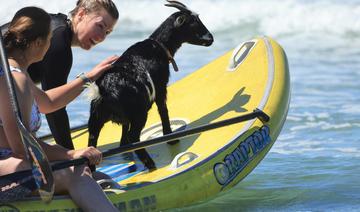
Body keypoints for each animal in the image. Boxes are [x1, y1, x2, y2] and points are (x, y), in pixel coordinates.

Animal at [87, 0, 214, 171]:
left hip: (96, 116)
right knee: (134, 135)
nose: (211, 38)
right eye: (193, 22)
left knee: (92, 141)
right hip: (139, 112)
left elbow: (124, 132)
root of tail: (103, 90)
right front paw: (170, 137)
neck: (159, 47)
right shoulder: (161, 87)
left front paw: (123, 147)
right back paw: (150, 164)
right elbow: (163, 110)